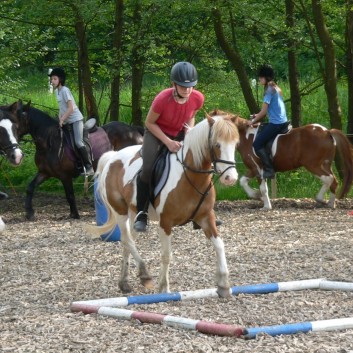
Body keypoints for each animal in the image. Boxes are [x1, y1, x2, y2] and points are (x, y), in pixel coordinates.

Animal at [11, 100, 143, 219]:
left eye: (15, 121)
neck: (49, 142)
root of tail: (134, 130)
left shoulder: (65, 175)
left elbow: (69, 195)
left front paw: (74, 214)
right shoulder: (44, 172)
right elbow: (30, 188)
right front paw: (29, 213)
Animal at [90, 113, 239, 296]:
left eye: (236, 144)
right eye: (217, 144)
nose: (231, 178)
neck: (190, 177)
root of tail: (113, 156)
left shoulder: (206, 217)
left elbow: (219, 245)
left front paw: (224, 285)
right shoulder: (166, 222)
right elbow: (167, 255)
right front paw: (164, 287)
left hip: (134, 214)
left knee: (128, 241)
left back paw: (124, 282)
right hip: (120, 211)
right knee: (126, 240)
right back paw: (145, 274)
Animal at [209, 110, 352, 209]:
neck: (246, 136)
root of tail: (327, 132)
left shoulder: (258, 168)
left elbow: (263, 188)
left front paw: (266, 205)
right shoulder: (253, 168)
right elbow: (243, 181)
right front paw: (257, 196)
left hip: (313, 165)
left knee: (328, 179)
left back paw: (320, 199)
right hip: (326, 164)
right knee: (334, 181)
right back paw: (331, 203)